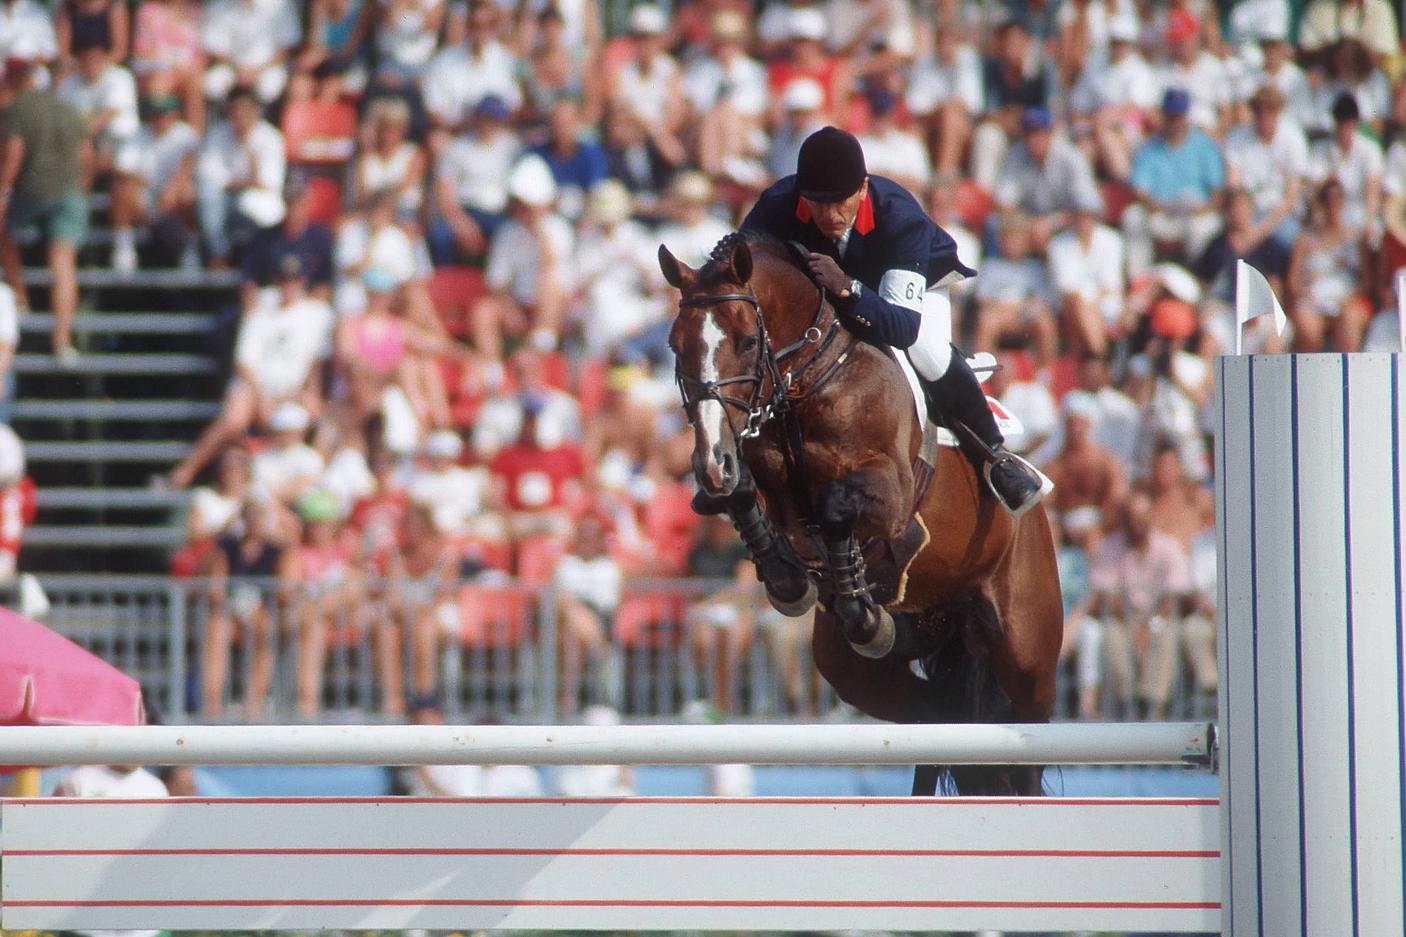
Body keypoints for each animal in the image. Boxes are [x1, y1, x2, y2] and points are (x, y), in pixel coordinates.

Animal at [660, 229, 1062, 793]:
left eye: (745, 342)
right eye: (677, 347)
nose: (710, 459)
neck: (805, 381)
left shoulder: (892, 494)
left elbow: (835, 505)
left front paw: (853, 599)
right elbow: (737, 495)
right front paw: (792, 581)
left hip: (1025, 654)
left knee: (1022, 749)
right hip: (859, 669)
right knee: (940, 716)